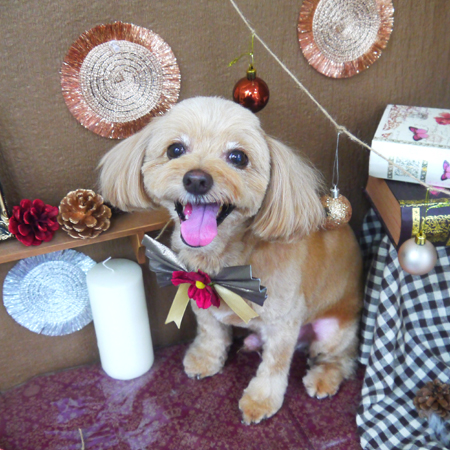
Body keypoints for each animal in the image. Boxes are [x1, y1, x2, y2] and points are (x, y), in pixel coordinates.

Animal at [99, 96, 363, 424]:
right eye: (175, 149)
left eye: (238, 157)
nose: (196, 179)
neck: (224, 262)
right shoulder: (197, 295)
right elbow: (211, 331)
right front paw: (205, 359)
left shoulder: (284, 321)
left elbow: (274, 365)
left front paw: (261, 400)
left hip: (333, 331)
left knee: (342, 357)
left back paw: (324, 376)